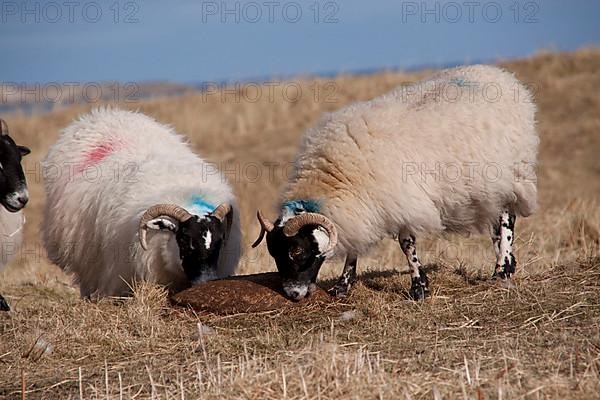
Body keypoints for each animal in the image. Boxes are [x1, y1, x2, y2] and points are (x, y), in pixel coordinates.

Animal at [251, 65, 536, 302]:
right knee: (496, 225)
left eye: (297, 251)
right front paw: (343, 286)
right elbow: (354, 246)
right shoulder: (362, 207)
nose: (293, 295)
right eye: (274, 253)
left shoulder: (400, 200)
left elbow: (406, 245)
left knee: (506, 219)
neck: (335, 177)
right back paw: (507, 264)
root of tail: (502, 75)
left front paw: (419, 288)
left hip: (507, 173)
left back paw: (501, 270)